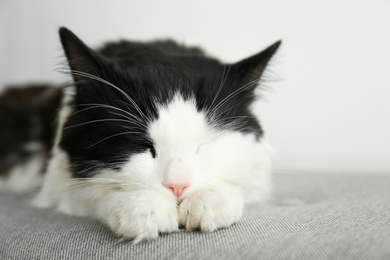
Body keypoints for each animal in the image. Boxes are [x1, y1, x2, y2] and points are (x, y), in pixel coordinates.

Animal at [0, 28, 280, 244]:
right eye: (142, 145)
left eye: (203, 145)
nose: (177, 186)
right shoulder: (58, 183)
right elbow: (96, 190)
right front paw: (143, 206)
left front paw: (209, 199)